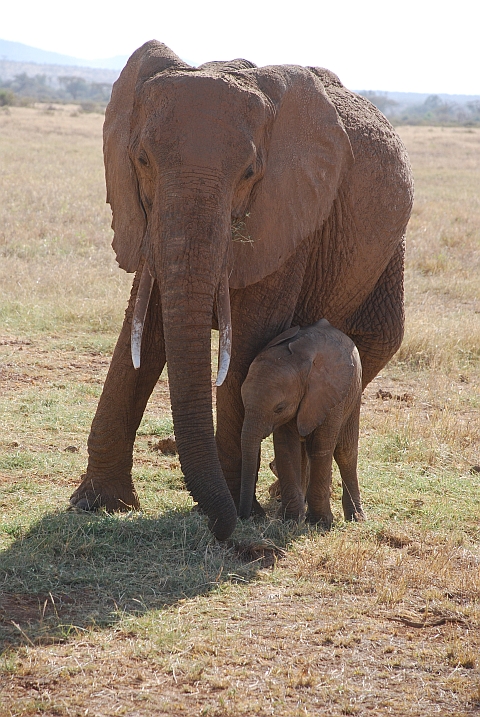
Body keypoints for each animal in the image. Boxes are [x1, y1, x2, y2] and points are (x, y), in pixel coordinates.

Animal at [240, 318, 368, 524]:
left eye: (279, 408)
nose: (244, 516)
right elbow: (286, 448)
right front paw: (291, 520)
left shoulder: (330, 396)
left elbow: (321, 448)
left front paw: (320, 523)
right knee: (302, 453)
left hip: (353, 393)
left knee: (345, 451)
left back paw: (357, 518)